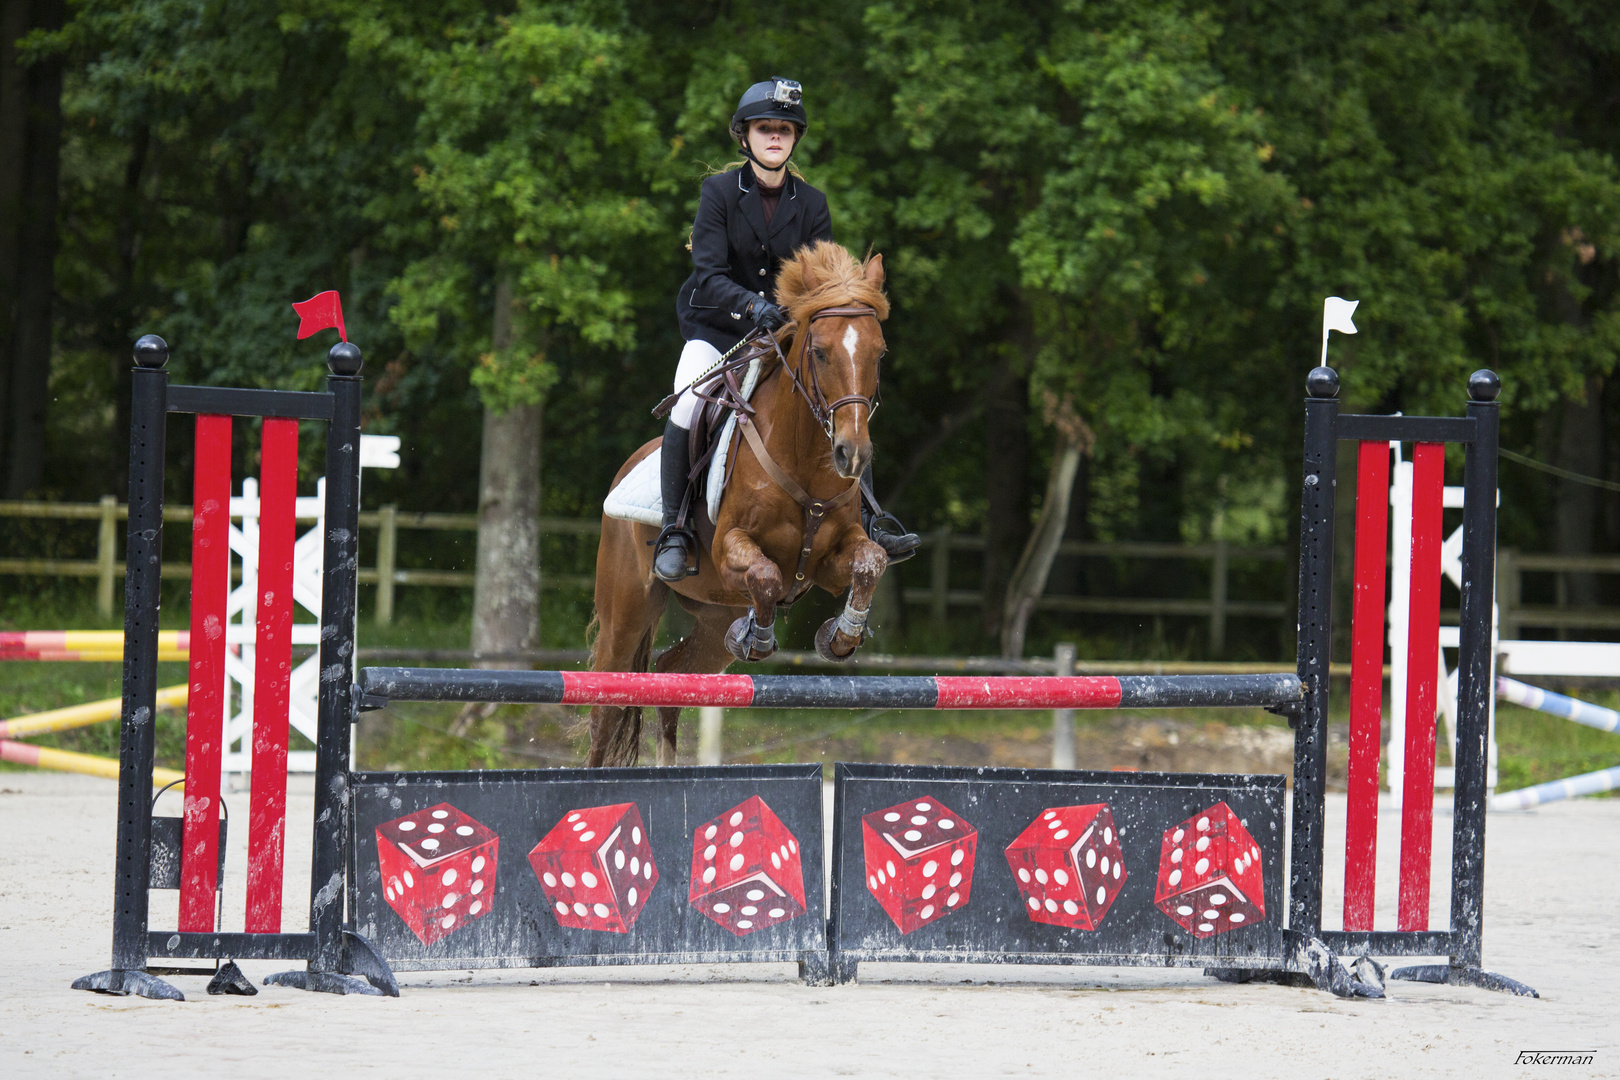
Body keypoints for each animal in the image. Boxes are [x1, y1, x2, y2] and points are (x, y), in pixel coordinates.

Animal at [586, 242, 894, 767]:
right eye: (819, 352)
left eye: (879, 353)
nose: (852, 454)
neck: (806, 460)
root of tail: (629, 463)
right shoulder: (732, 547)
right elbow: (766, 574)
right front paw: (759, 636)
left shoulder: (829, 562)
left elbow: (869, 561)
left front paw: (841, 637)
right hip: (626, 610)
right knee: (604, 708)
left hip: (711, 617)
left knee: (673, 675)